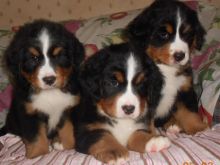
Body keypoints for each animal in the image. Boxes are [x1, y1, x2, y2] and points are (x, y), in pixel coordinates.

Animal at [3, 19, 84, 159]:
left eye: (58, 56)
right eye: (34, 58)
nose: (49, 79)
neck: (50, 93)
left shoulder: (68, 108)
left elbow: (68, 129)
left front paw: (68, 145)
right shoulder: (28, 113)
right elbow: (35, 137)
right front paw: (38, 154)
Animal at [125, 0, 208, 134]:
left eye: (187, 34)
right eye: (163, 34)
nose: (179, 55)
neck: (165, 68)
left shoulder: (184, 90)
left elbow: (189, 112)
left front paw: (199, 128)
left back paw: (174, 125)